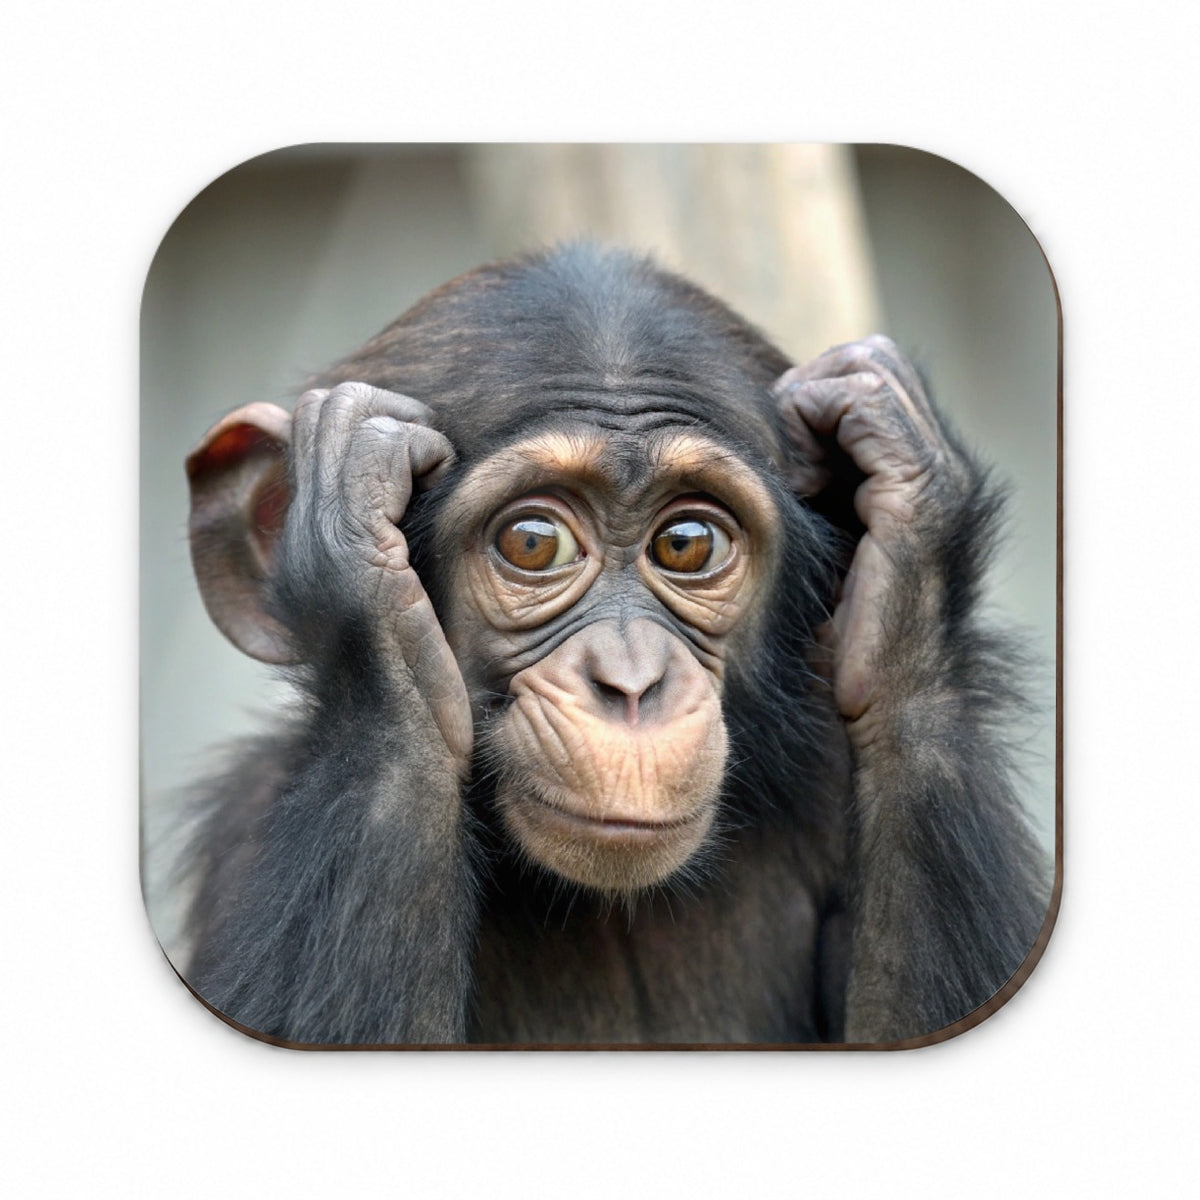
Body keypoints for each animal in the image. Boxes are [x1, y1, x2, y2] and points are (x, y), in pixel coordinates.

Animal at [178, 242, 1050, 1046]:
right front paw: (353, 530)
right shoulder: (246, 829)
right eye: (532, 542)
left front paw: (911, 485)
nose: (631, 682)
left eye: (688, 544)